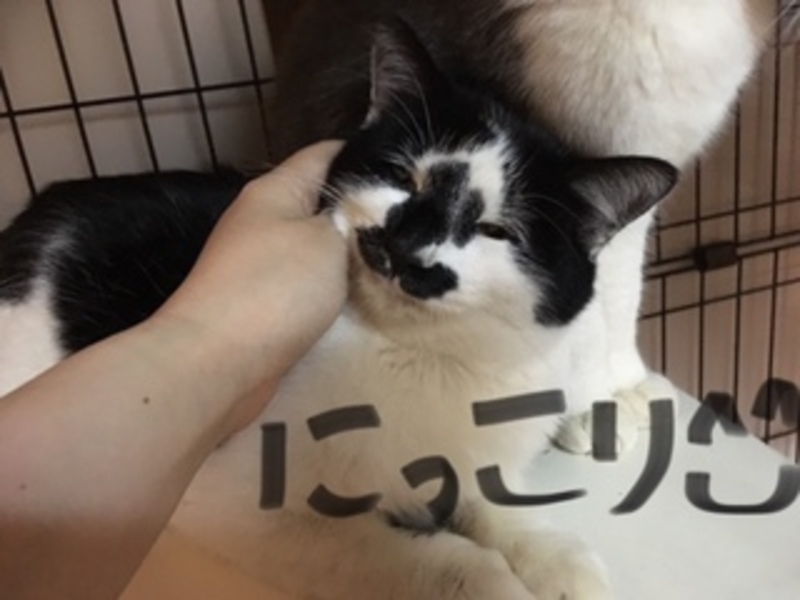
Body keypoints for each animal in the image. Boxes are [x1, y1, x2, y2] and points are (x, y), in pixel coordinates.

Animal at [0, 23, 678, 599]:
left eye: (496, 229)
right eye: (402, 176)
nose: (407, 246)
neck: (417, 355)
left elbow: (487, 500)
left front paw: (553, 556)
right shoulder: (238, 508)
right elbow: (421, 557)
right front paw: (492, 584)